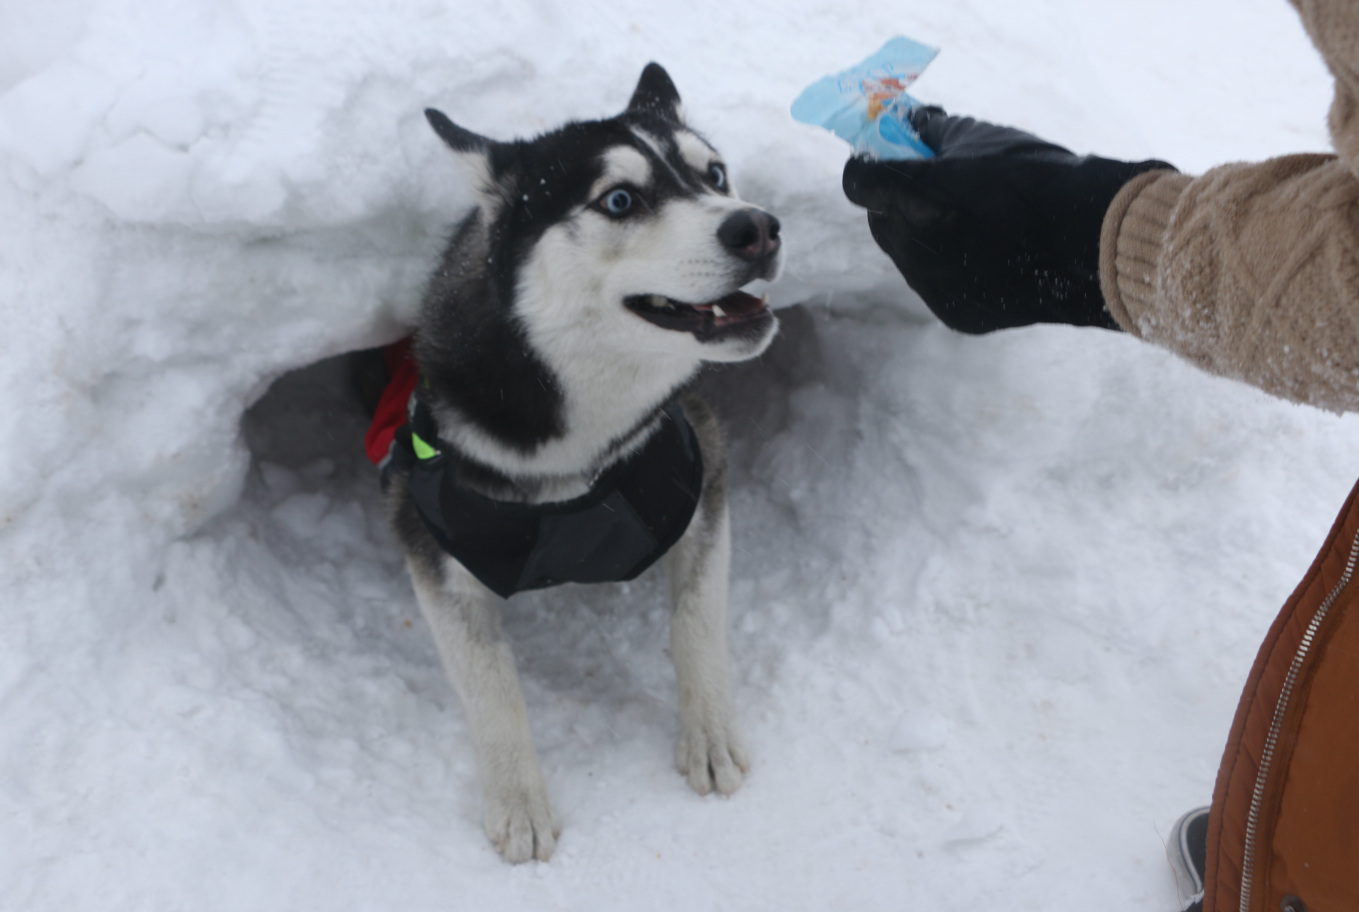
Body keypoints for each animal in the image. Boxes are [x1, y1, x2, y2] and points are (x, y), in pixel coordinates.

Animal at [388, 64, 782, 864]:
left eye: (714, 174)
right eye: (620, 199)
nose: (758, 226)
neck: (576, 452)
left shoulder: (698, 468)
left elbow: (694, 621)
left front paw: (710, 735)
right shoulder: (426, 536)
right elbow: (492, 685)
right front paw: (519, 803)